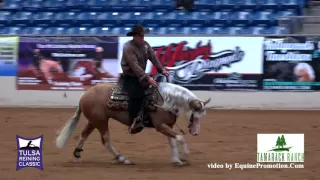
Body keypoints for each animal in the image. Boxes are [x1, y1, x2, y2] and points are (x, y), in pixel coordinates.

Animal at [56, 80, 211, 165]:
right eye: (195, 116)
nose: (196, 133)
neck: (165, 100)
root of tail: (84, 95)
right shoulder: (160, 126)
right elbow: (180, 138)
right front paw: (185, 155)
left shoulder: (168, 126)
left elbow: (173, 141)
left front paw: (176, 160)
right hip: (101, 122)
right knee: (106, 141)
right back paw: (122, 159)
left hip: (94, 121)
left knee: (84, 135)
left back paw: (77, 156)